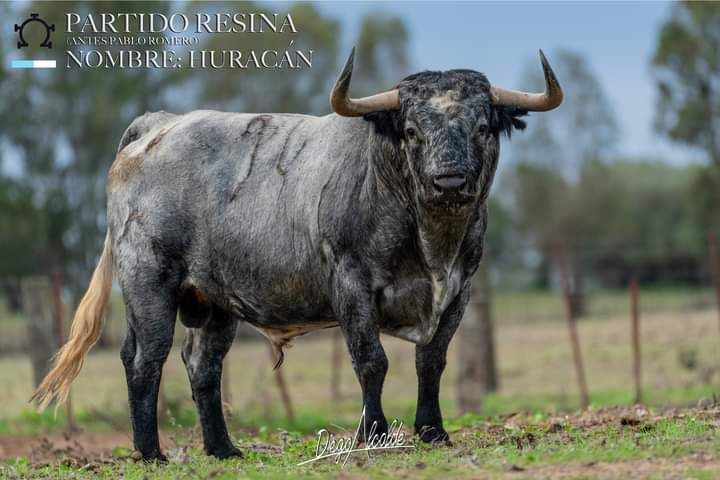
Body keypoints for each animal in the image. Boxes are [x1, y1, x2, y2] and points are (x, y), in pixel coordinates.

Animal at [32, 48, 564, 462]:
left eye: (482, 127)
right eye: (412, 130)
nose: (449, 180)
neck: (431, 241)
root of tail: (159, 124)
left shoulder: (458, 292)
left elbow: (431, 362)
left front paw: (433, 432)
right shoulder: (351, 285)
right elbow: (371, 361)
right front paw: (374, 435)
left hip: (215, 300)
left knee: (202, 364)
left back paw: (223, 449)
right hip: (149, 283)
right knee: (145, 359)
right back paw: (150, 453)